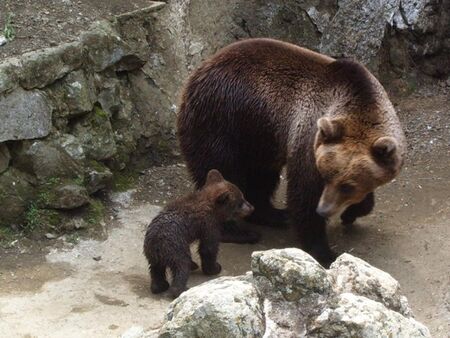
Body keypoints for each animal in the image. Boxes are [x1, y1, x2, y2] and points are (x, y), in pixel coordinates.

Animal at [177, 38, 408, 266]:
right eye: (325, 175)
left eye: (347, 186)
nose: (324, 209)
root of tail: (196, 73)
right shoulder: (308, 139)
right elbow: (304, 193)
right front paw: (325, 252)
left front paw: (352, 212)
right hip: (222, 123)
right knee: (224, 173)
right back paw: (240, 231)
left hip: (259, 136)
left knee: (261, 176)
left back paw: (275, 215)